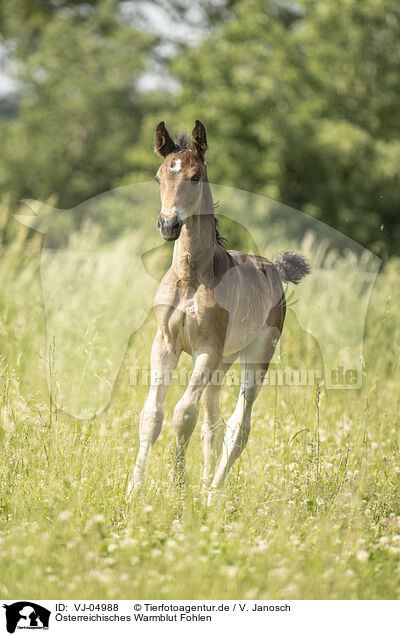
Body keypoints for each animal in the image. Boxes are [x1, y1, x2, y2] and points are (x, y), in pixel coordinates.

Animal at [134, 121, 310, 494]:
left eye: (196, 175)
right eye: (159, 177)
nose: (168, 225)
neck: (191, 277)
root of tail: (275, 268)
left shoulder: (207, 349)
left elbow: (183, 413)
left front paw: (178, 486)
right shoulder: (165, 344)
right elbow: (152, 415)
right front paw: (134, 490)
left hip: (255, 357)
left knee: (237, 427)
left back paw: (212, 495)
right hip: (223, 363)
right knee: (213, 425)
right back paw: (205, 489)